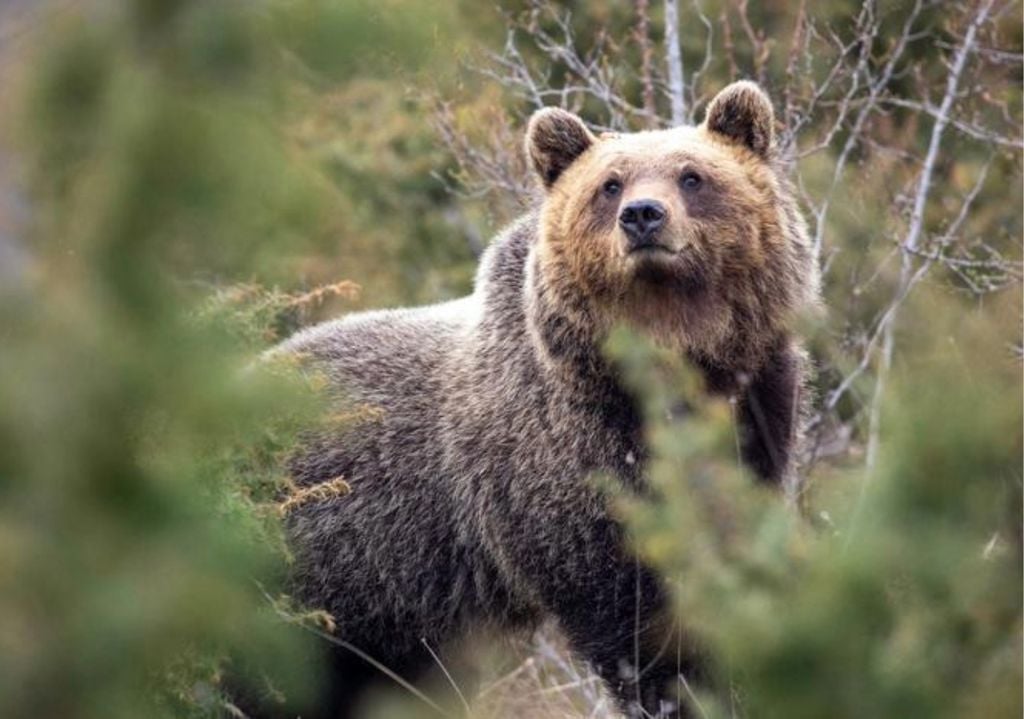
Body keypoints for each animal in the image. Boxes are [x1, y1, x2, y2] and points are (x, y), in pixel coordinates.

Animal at [252, 81, 819, 719]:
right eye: (610, 183)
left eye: (692, 175)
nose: (642, 216)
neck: (672, 363)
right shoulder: (561, 458)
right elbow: (629, 606)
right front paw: (676, 689)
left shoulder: (756, 408)